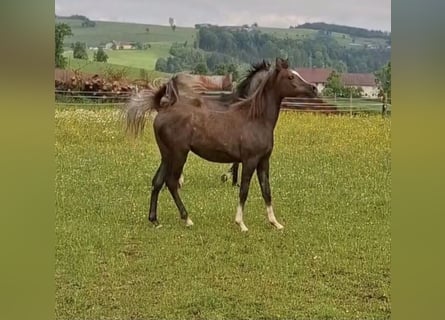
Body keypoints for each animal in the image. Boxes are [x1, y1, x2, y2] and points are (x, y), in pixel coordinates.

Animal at [125, 57, 318, 231]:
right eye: (290, 76)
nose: (314, 88)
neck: (255, 118)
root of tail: (162, 109)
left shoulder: (264, 161)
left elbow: (266, 190)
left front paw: (275, 223)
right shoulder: (250, 160)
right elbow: (244, 190)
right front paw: (241, 224)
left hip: (166, 155)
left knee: (157, 181)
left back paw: (154, 220)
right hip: (179, 154)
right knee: (171, 182)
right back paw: (187, 219)